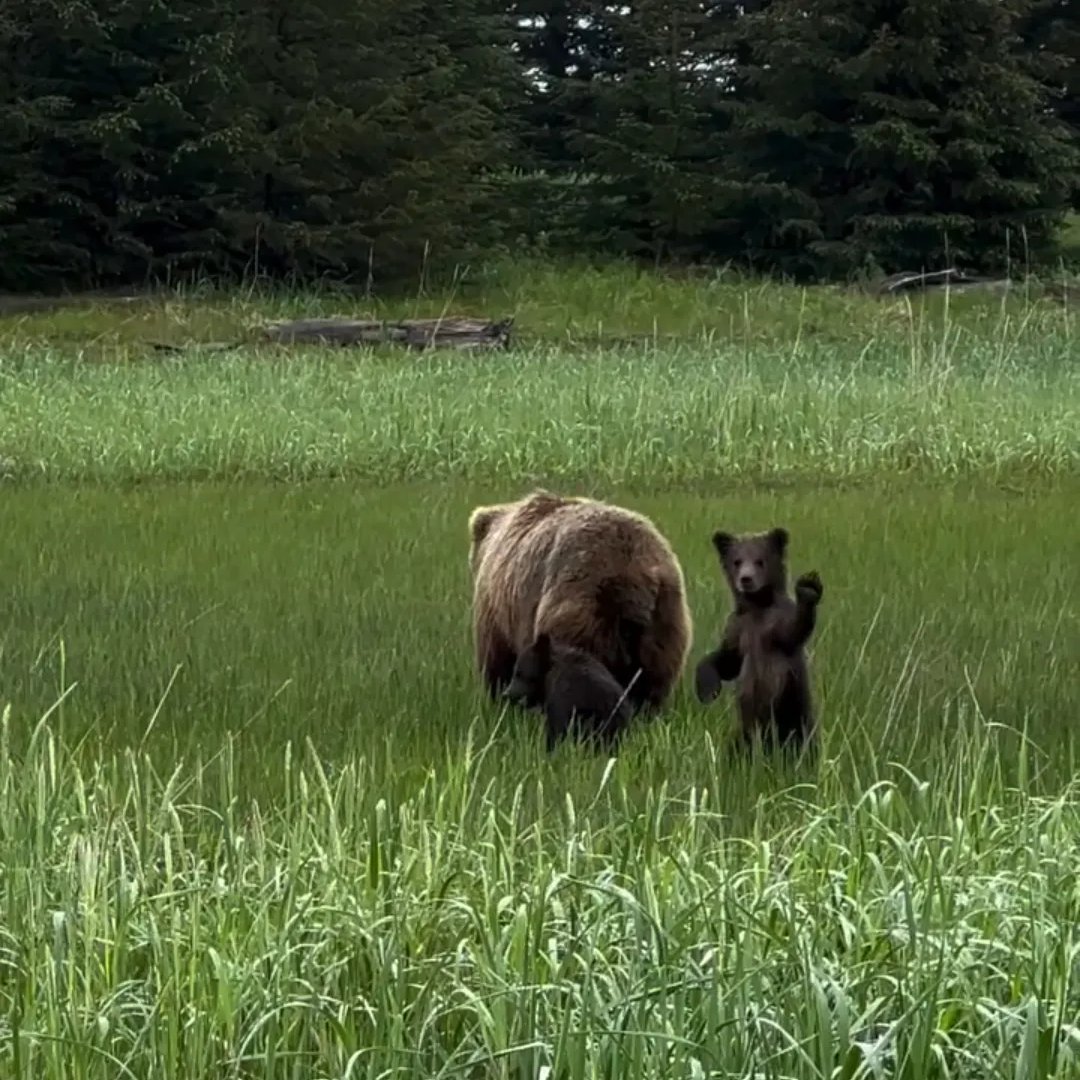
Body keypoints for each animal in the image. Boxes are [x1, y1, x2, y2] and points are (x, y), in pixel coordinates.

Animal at [467, 489, 692, 717]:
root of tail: (632, 576)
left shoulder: (495, 605)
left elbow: (496, 659)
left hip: (579, 610)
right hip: (665, 619)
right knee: (653, 684)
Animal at [694, 526, 823, 754]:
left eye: (760, 560)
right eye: (737, 561)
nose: (746, 579)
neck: (756, 607)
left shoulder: (774, 627)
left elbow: (794, 630)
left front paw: (808, 587)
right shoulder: (737, 628)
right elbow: (727, 661)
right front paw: (707, 689)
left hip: (794, 718)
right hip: (744, 733)